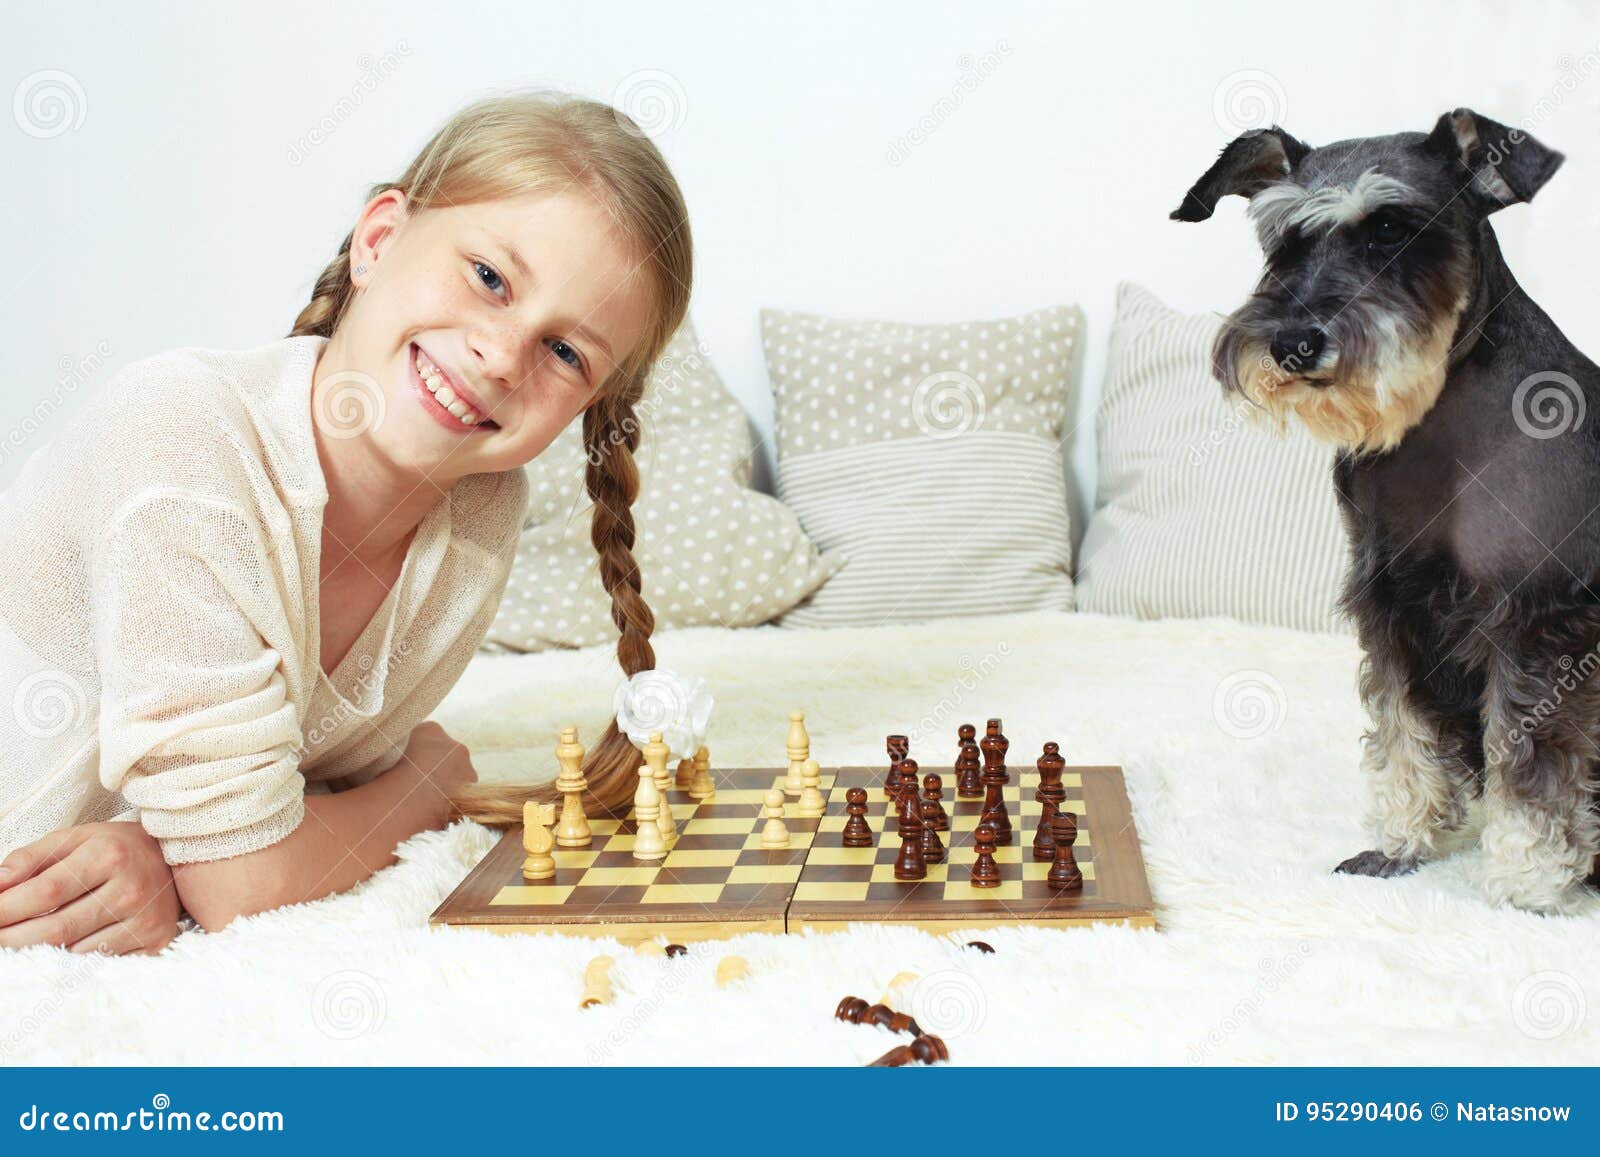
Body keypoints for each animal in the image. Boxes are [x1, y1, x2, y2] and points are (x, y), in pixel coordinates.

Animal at [1171, 106, 1593, 915]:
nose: (1293, 342)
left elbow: (1530, 762)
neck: (1439, 424)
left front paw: (1525, 885)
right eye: (1284, 240)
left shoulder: (1537, 619)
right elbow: (1404, 737)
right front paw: (1401, 845)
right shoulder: (1393, 608)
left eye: (1392, 229)